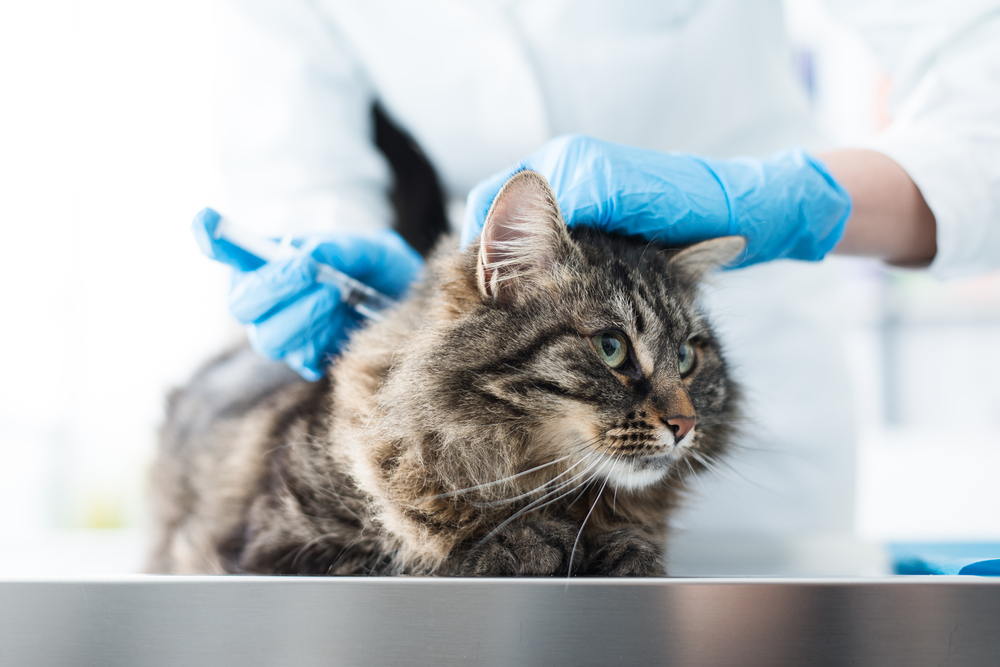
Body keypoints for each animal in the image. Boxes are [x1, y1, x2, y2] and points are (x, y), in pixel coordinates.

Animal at [146, 170, 744, 576]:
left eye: (687, 358)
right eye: (612, 348)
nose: (685, 425)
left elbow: (634, 548)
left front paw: (619, 549)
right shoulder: (279, 547)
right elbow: (430, 558)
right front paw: (525, 544)